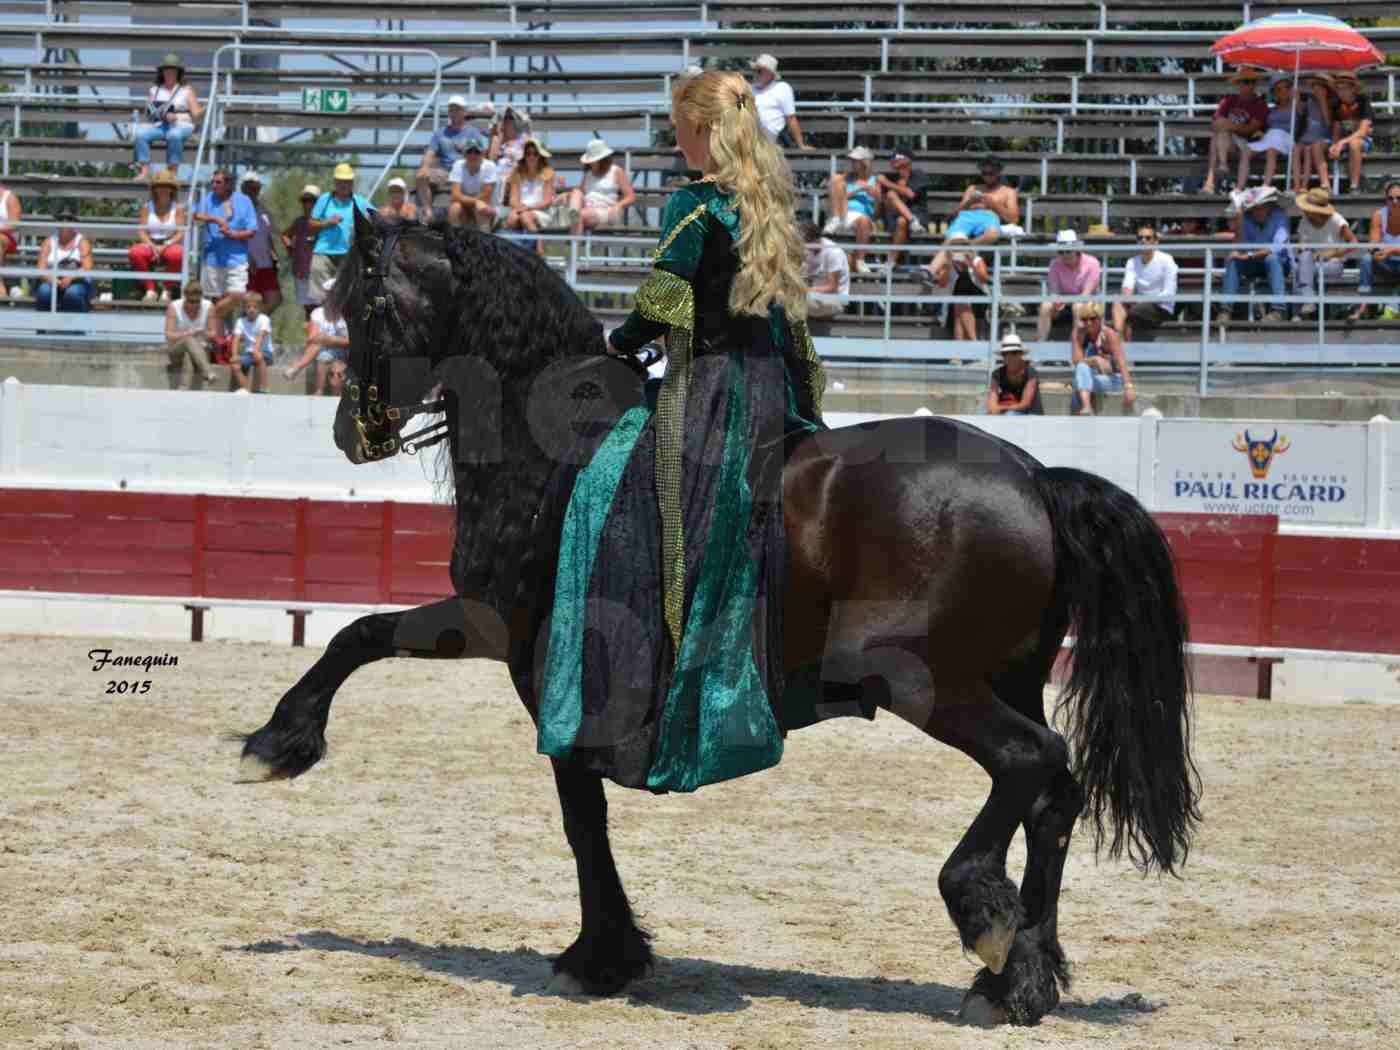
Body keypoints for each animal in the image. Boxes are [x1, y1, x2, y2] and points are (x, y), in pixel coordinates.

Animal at [235, 214, 1198, 1030]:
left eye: (363, 303)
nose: (347, 430)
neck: (561, 448)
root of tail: (1036, 476)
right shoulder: (513, 644)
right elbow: (372, 641)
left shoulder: (532, 652)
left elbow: (570, 809)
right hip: (1007, 680)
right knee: (1053, 795)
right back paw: (1019, 980)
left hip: (926, 684)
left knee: (1032, 765)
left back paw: (984, 920)